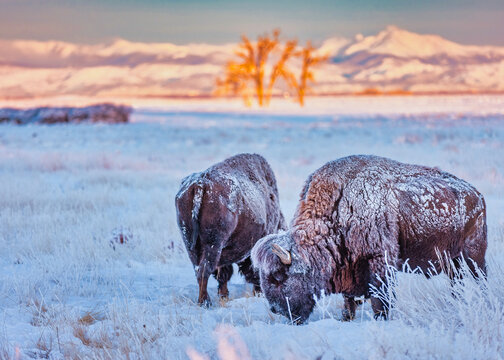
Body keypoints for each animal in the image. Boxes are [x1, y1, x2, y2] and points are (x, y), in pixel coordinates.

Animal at [176, 153, 288, 306]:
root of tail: (201, 183)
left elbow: (223, 274)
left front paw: (224, 296)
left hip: (190, 244)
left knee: (199, 269)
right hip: (213, 243)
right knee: (204, 270)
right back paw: (205, 302)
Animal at [254, 155, 486, 324]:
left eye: (279, 276)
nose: (276, 309)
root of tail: (477, 195)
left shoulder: (379, 259)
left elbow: (380, 296)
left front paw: (380, 318)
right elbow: (348, 300)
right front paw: (346, 318)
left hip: (474, 256)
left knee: (480, 279)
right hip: (453, 262)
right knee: (456, 283)